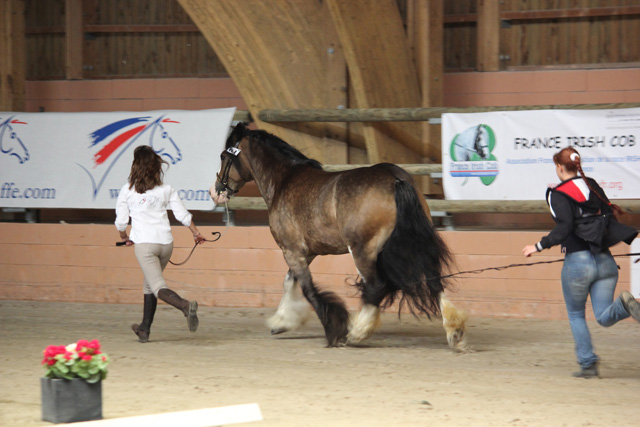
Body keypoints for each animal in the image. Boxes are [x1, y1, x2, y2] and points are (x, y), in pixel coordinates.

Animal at [212, 123, 468, 352]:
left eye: (224, 156)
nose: (216, 191)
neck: (284, 181)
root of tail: (395, 180)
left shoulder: (291, 250)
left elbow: (308, 289)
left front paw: (332, 330)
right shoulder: (307, 252)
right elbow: (289, 281)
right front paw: (282, 321)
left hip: (363, 251)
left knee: (376, 287)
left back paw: (356, 333)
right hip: (412, 244)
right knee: (434, 280)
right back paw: (454, 332)